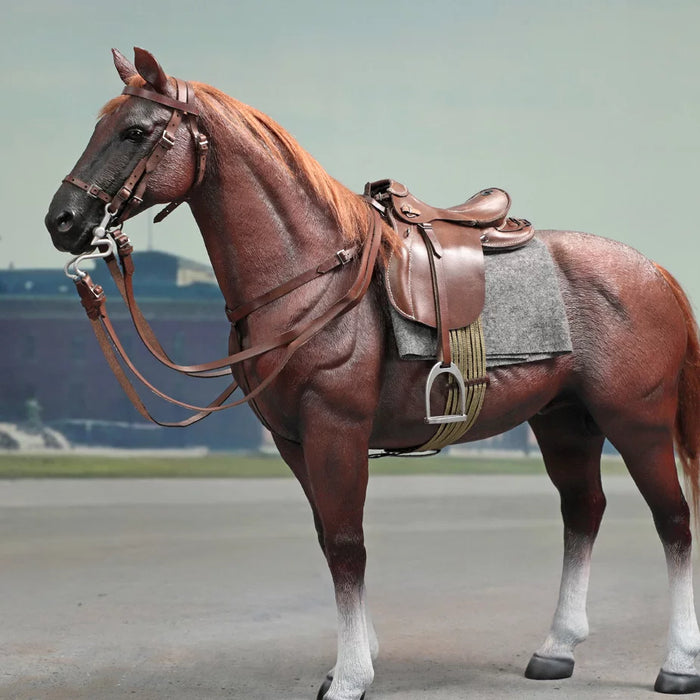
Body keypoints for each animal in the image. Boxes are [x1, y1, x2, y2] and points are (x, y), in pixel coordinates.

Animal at [45, 47, 700, 699]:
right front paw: (351, 659)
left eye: (134, 131)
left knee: (673, 520)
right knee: (583, 510)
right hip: (565, 421)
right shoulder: (293, 441)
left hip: (636, 421)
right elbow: (327, 538)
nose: (63, 220)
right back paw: (556, 649)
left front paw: (352, 675)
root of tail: (655, 271)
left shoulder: (337, 429)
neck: (312, 279)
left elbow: (346, 545)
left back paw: (677, 663)